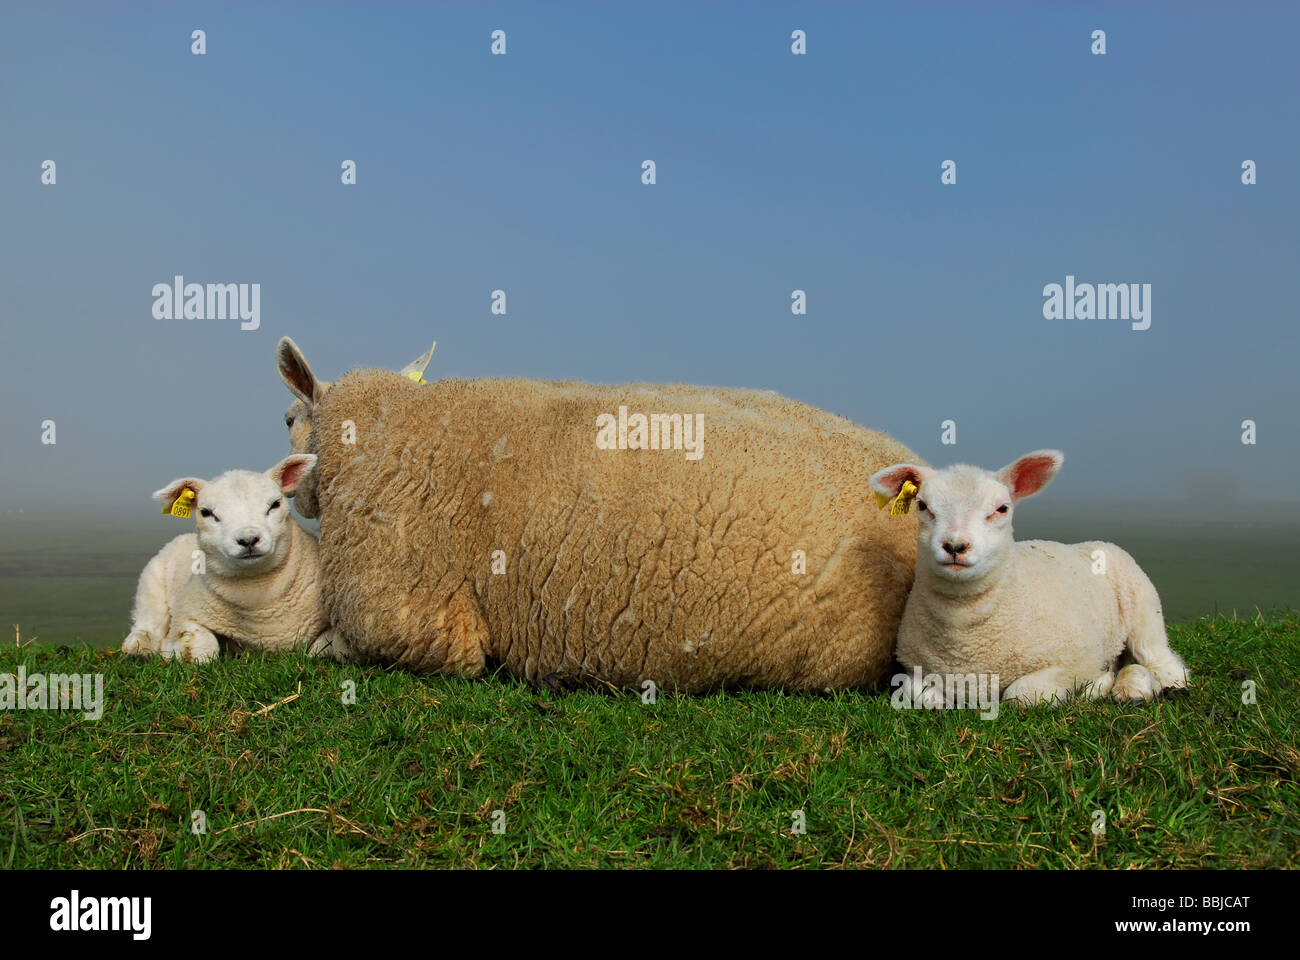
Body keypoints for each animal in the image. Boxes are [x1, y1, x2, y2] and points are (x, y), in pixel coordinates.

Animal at [121, 454, 352, 664]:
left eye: (275, 504)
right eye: (206, 513)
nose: (248, 539)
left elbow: (323, 647)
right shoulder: (185, 613)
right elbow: (201, 650)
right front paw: (170, 652)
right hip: (151, 585)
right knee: (147, 623)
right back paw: (139, 648)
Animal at [868, 451, 1189, 707]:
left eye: (1001, 509)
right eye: (923, 506)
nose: (955, 546)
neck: (965, 642)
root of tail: (1094, 543)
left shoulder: (1077, 656)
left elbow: (1019, 693)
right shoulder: (912, 665)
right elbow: (918, 692)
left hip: (1144, 612)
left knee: (1160, 662)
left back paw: (1142, 688)